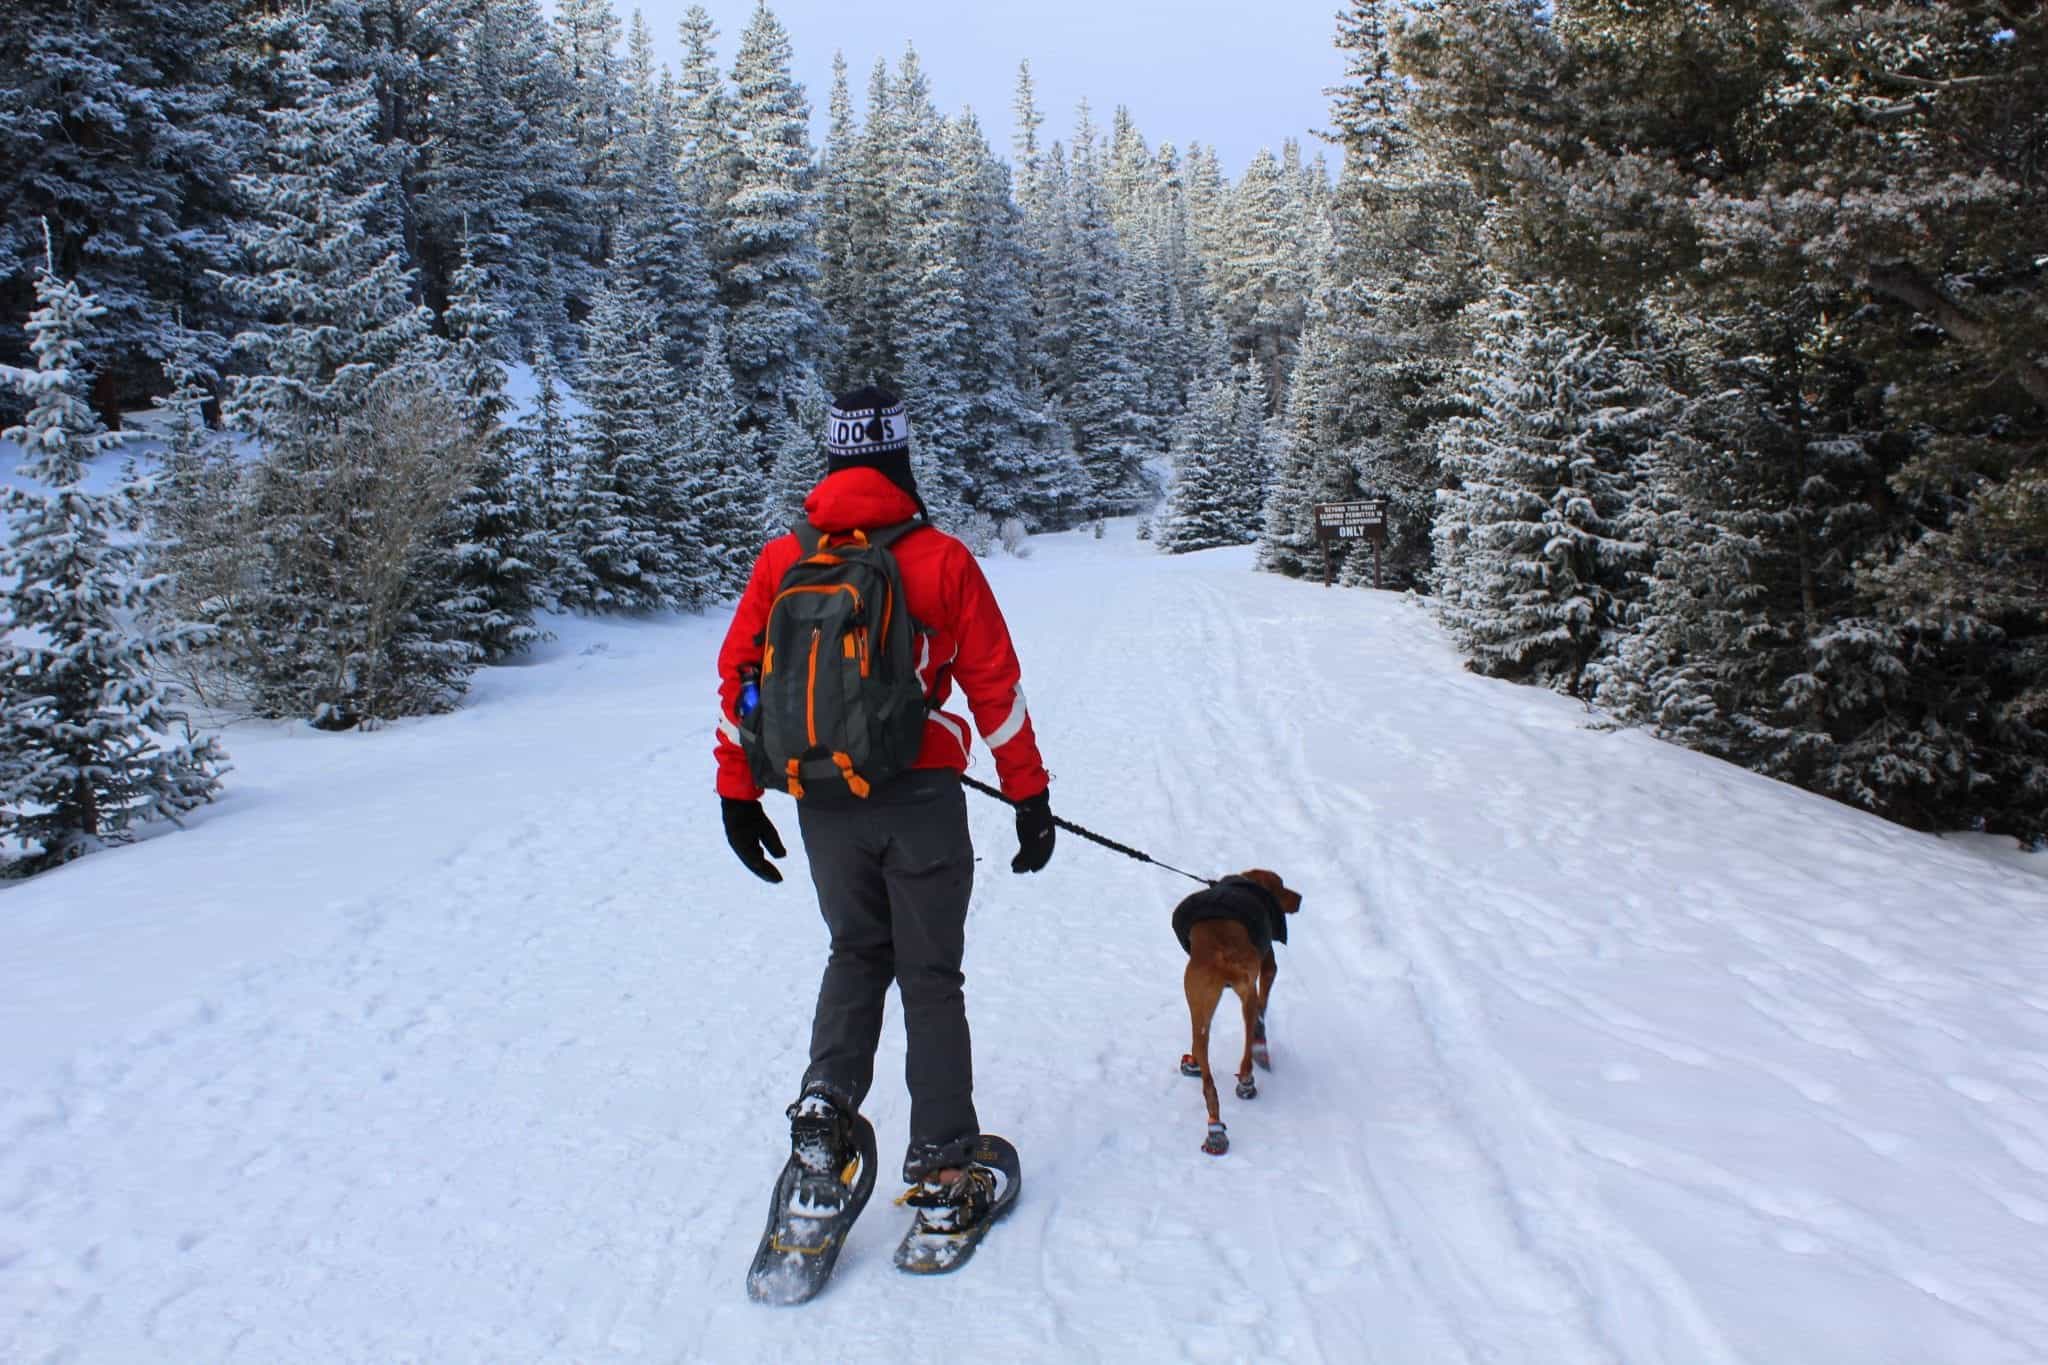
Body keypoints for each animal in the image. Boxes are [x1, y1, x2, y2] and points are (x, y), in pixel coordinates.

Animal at [1179, 875, 1302, 1154]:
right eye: (1282, 886)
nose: (1300, 898)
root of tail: (1221, 952)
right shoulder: (1268, 966)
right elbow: (1264, 1004)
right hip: (1246, 995)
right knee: (1249, 1041)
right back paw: (1247, 1079)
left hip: (1201, 1006)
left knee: (1206, 1069)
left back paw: (1215, 1129)